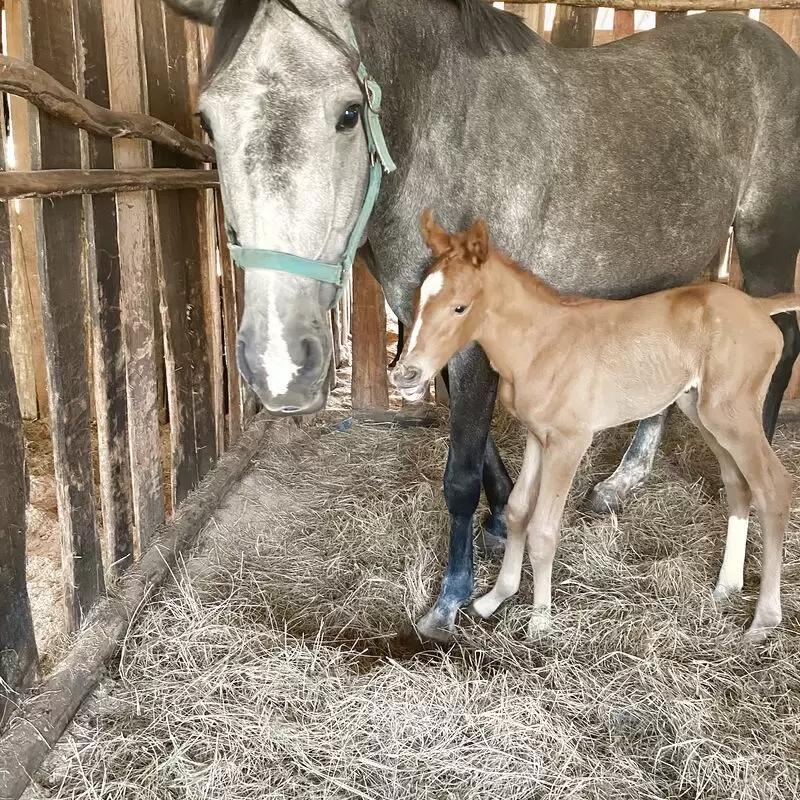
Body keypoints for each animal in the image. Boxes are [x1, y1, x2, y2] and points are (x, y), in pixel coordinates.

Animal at [390, 209, 796, 640]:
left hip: (732, 412)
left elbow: (543, 528)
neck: (541, 344)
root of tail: (759, 307)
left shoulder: (570, 441)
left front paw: (540, 620)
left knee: (773, 488)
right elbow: (518, 510)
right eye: (417, 300)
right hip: (702, 411)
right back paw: (725, 587)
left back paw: (763, 619)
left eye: (460, 308)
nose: (406, 374)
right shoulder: (538, 435)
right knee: (738, 483)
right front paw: (494, 598)